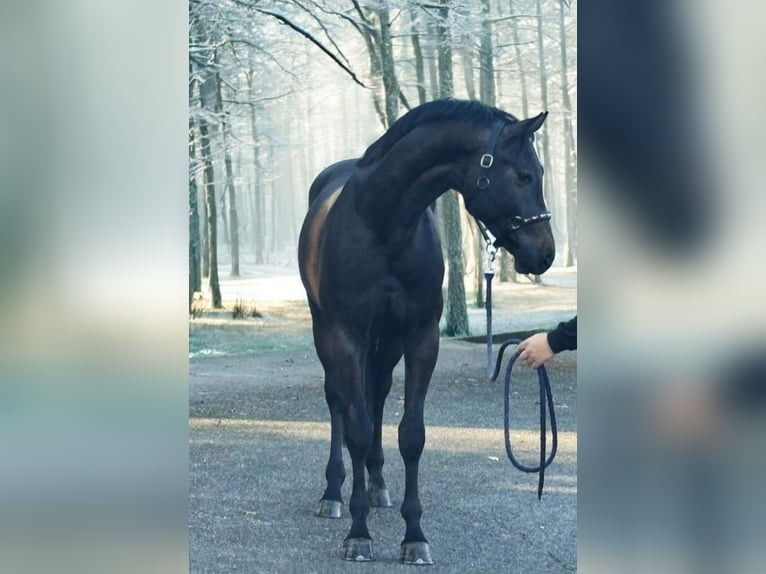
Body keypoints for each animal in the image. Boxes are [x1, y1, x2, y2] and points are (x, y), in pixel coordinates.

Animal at [296, 100, 556, 568]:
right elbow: (356, 427)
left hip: (386, 342)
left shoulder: (419, 338)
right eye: (525, 175)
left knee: (377, 394)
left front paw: (414, 535)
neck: (381, 223)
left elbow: (411, 435)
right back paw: (333, 492)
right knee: (339, 402)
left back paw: (378, 485)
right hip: (324, 330)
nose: (545, 253)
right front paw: (358, 535)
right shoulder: (347, 336)